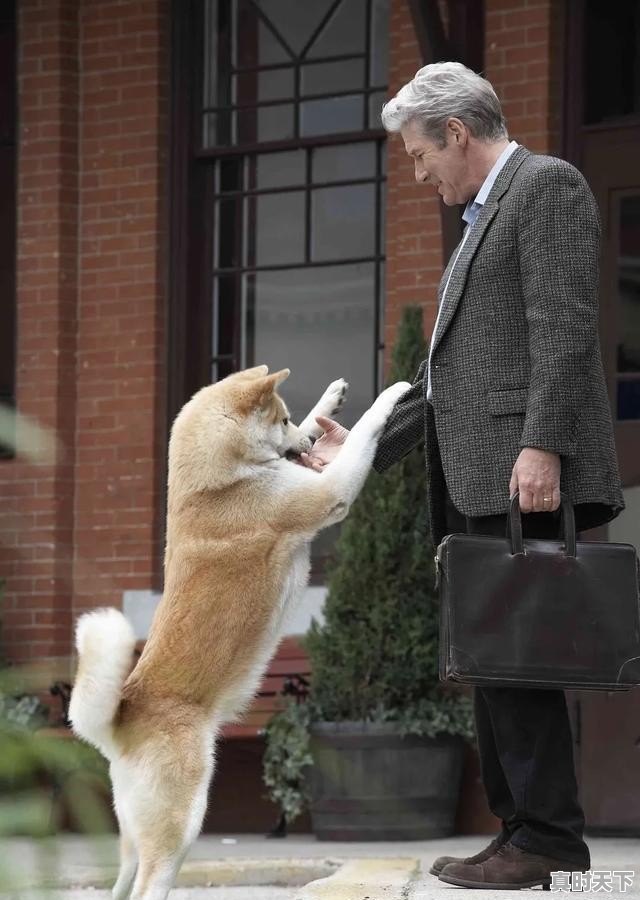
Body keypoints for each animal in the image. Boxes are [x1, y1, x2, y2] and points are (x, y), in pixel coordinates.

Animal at [69, 366, 410, 900]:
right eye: (281, 421)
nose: (304, 444)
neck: (218, 481)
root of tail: (121, 717)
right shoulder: (328, 491)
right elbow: (368, 427)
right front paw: (391, 394)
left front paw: (329, 403)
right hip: (182, 821)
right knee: (149, 886)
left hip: (133, 835)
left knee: (123, 883)